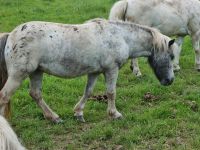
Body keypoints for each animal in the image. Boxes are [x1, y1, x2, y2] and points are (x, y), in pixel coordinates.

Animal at [0, 18, 176, 122]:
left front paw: (78, 113)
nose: (170, 81)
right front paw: (114, 114)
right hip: (18, 74)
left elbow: (88, 92)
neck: (121, 36)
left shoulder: (95, 72)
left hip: (36, 72)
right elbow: (111, 92)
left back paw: (54, 117)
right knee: (4, 96)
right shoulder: (111, 70)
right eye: (172, 56)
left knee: (35, 94)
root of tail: (11, 35)